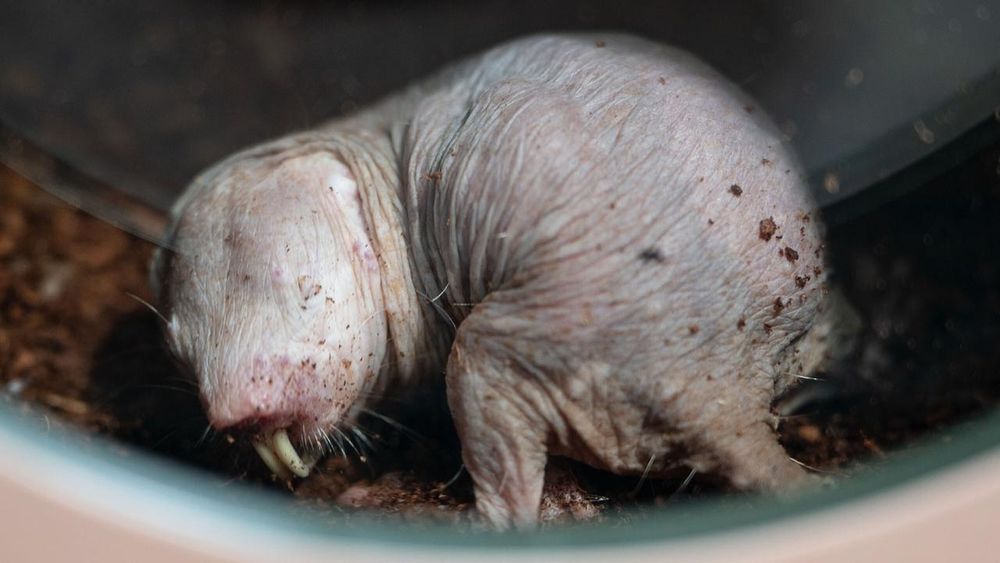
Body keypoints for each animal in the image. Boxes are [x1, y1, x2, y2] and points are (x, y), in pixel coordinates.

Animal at [151, 33, 843, 529]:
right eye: (179, 347)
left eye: (304, 289)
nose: (242, 416)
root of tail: (721, 393)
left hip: (548, 329)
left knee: (498, 464)